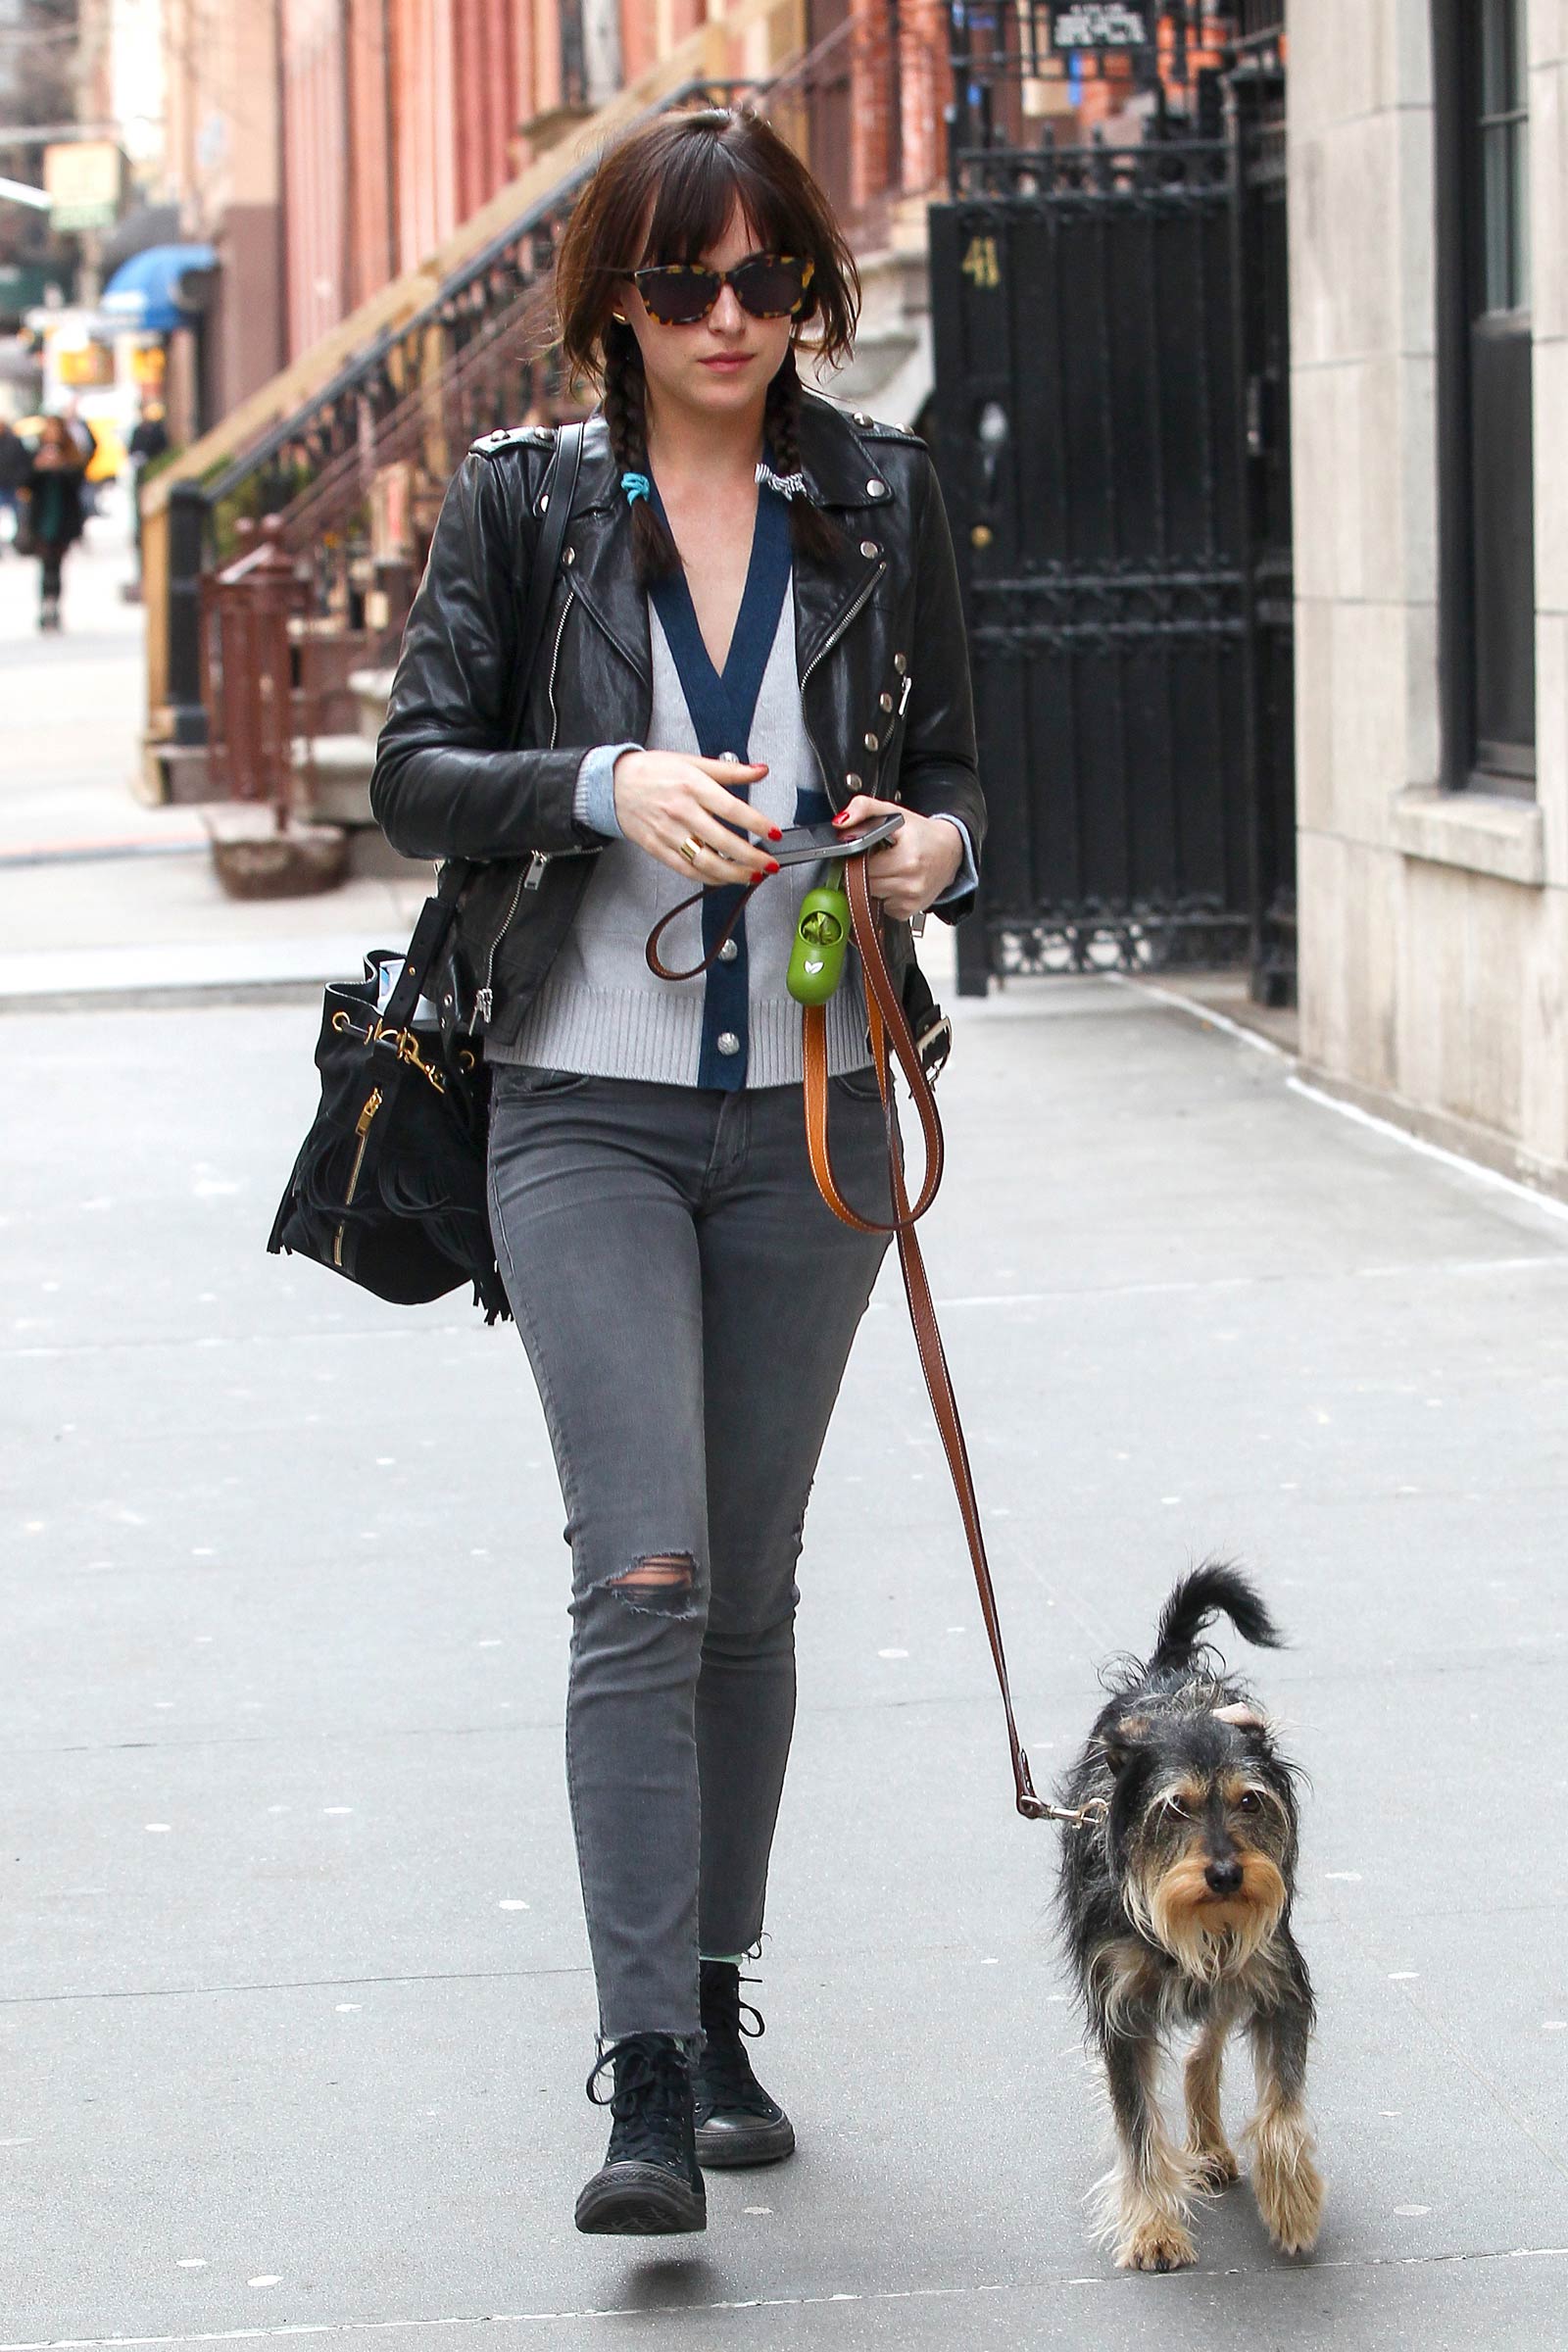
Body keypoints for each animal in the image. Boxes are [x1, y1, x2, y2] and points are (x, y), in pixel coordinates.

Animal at [1053, 1571, 1325, 2267]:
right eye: (1174, 1808)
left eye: (1250, 1801)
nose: (1227, 1875)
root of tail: (1169, 1674)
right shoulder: (1121, 2010)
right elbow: (1139, 2132)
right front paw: (1153, 2228)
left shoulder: (1277, 1982)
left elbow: (1281, 2110)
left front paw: (1292, 2203)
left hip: (1232, 1974)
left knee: (1204, 2052)